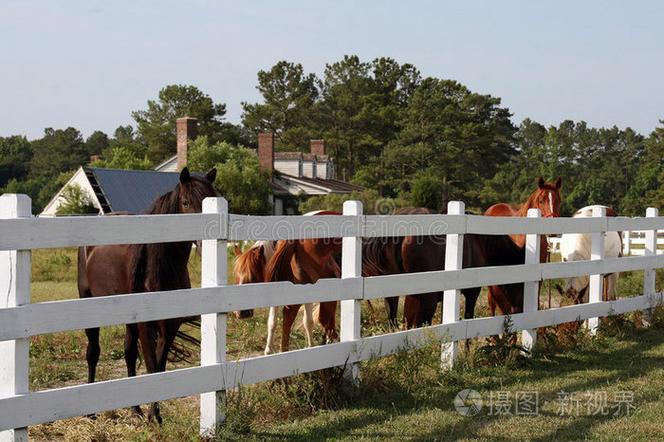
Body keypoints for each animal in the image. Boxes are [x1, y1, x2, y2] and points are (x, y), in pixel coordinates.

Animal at [77, 167, 218, 423]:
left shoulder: (170, 324)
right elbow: (152, 365)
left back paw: (136, 410)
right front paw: (155, 416)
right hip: (89, 304)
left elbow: (159, 365)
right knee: (93, 352)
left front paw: (154, 414)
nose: (204, 241)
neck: (160, 266)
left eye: (212, 198)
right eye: (185, 202)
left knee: (129, 353)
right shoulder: (146, 323)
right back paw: (91, 413)